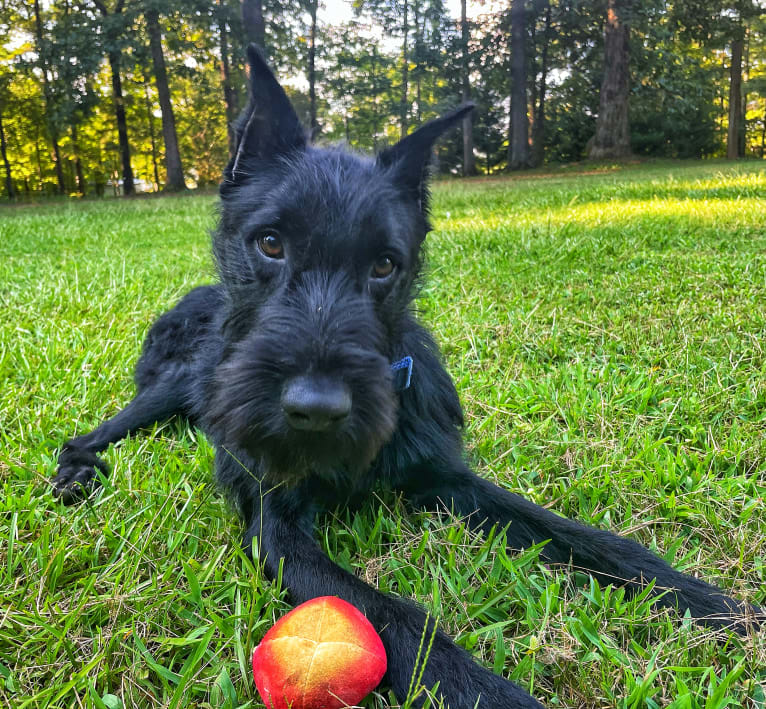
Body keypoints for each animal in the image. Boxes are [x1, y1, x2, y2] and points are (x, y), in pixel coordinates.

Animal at [55, 47, 760, 704]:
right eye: (271, 243)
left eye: (385, 264)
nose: (315, 409)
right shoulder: (277, 530)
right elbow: (397, 616)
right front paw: (487, 689)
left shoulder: (447, 479)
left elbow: (594, 542)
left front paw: (723, 608)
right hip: (172, 390)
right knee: (90, 433)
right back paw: (76, 474)